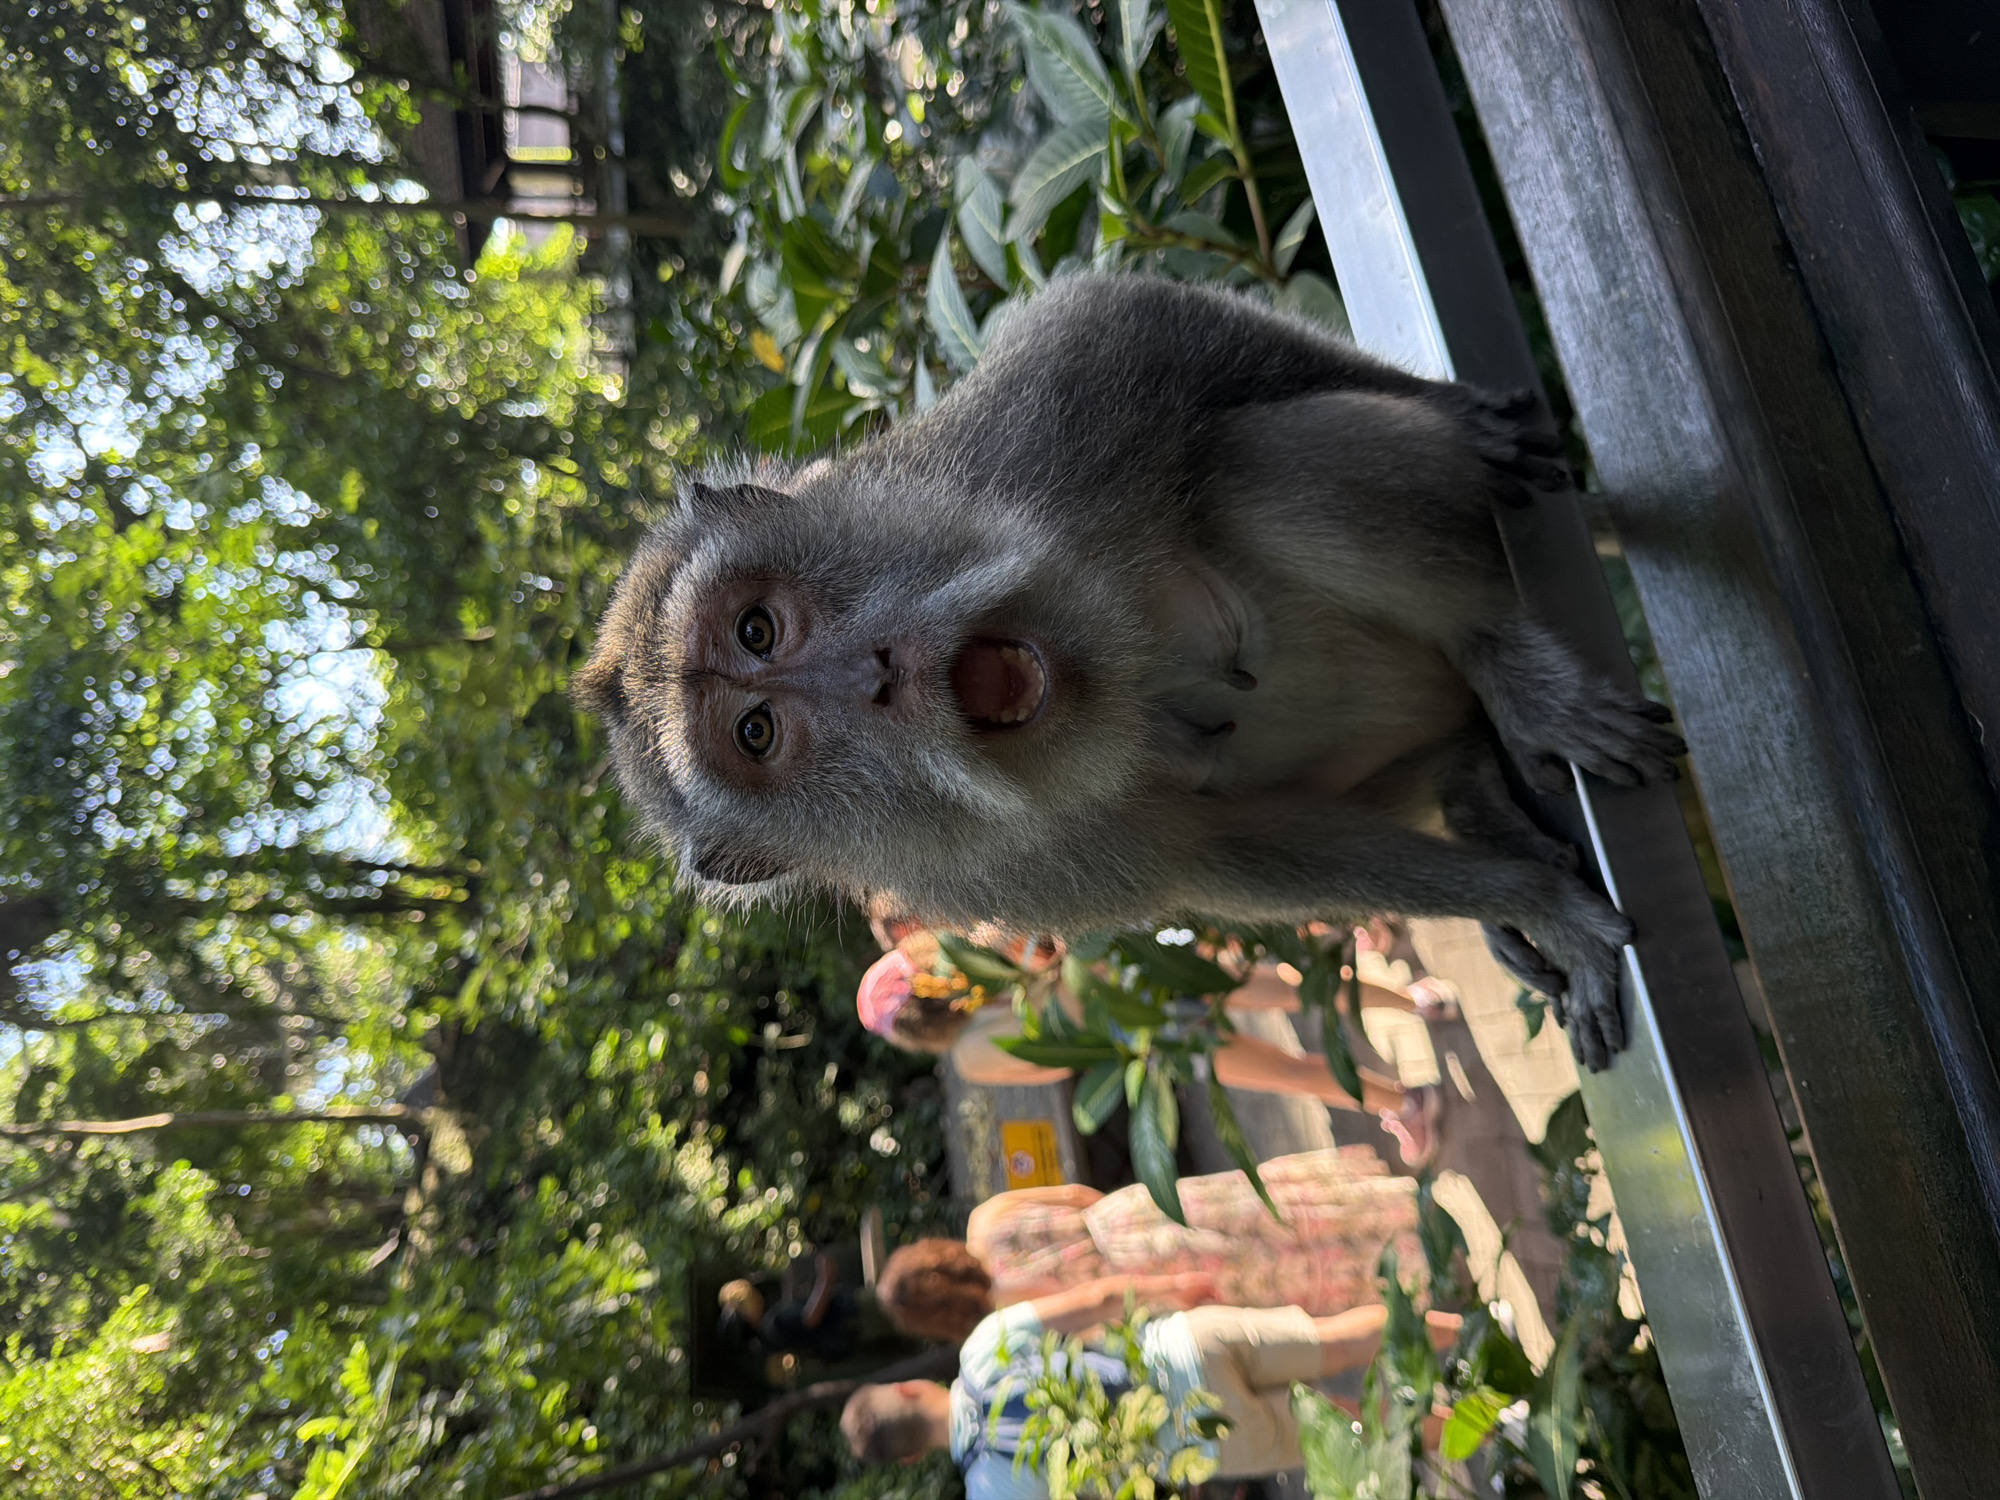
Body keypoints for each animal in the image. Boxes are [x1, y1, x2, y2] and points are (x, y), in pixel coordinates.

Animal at [571, 272, 1683, 1070]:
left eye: (758, 629)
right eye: (757, 733)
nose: (876, 672)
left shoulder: (1009, 450)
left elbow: (1130, 322)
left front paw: (1459, 412)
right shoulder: (1006, 877)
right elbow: (1227, 850)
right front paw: (1525, 900)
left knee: (1249, 469)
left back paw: (1502, 657)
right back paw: (1472, 784)